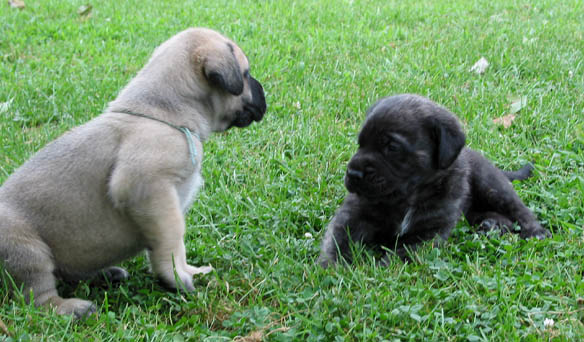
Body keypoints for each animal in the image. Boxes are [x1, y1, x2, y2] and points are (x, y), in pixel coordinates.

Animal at [318, 94, 548, 268]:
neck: (408, 198)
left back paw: (535, 231)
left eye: (392, 147)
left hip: (491, 185)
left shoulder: (430, 232)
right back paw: (492, 225)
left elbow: (403, 253)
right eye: (360, 144)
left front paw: (380, 268)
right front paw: (331, 266)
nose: (353, 173)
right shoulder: (354, 214)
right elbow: (337, 238)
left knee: (518, 209)